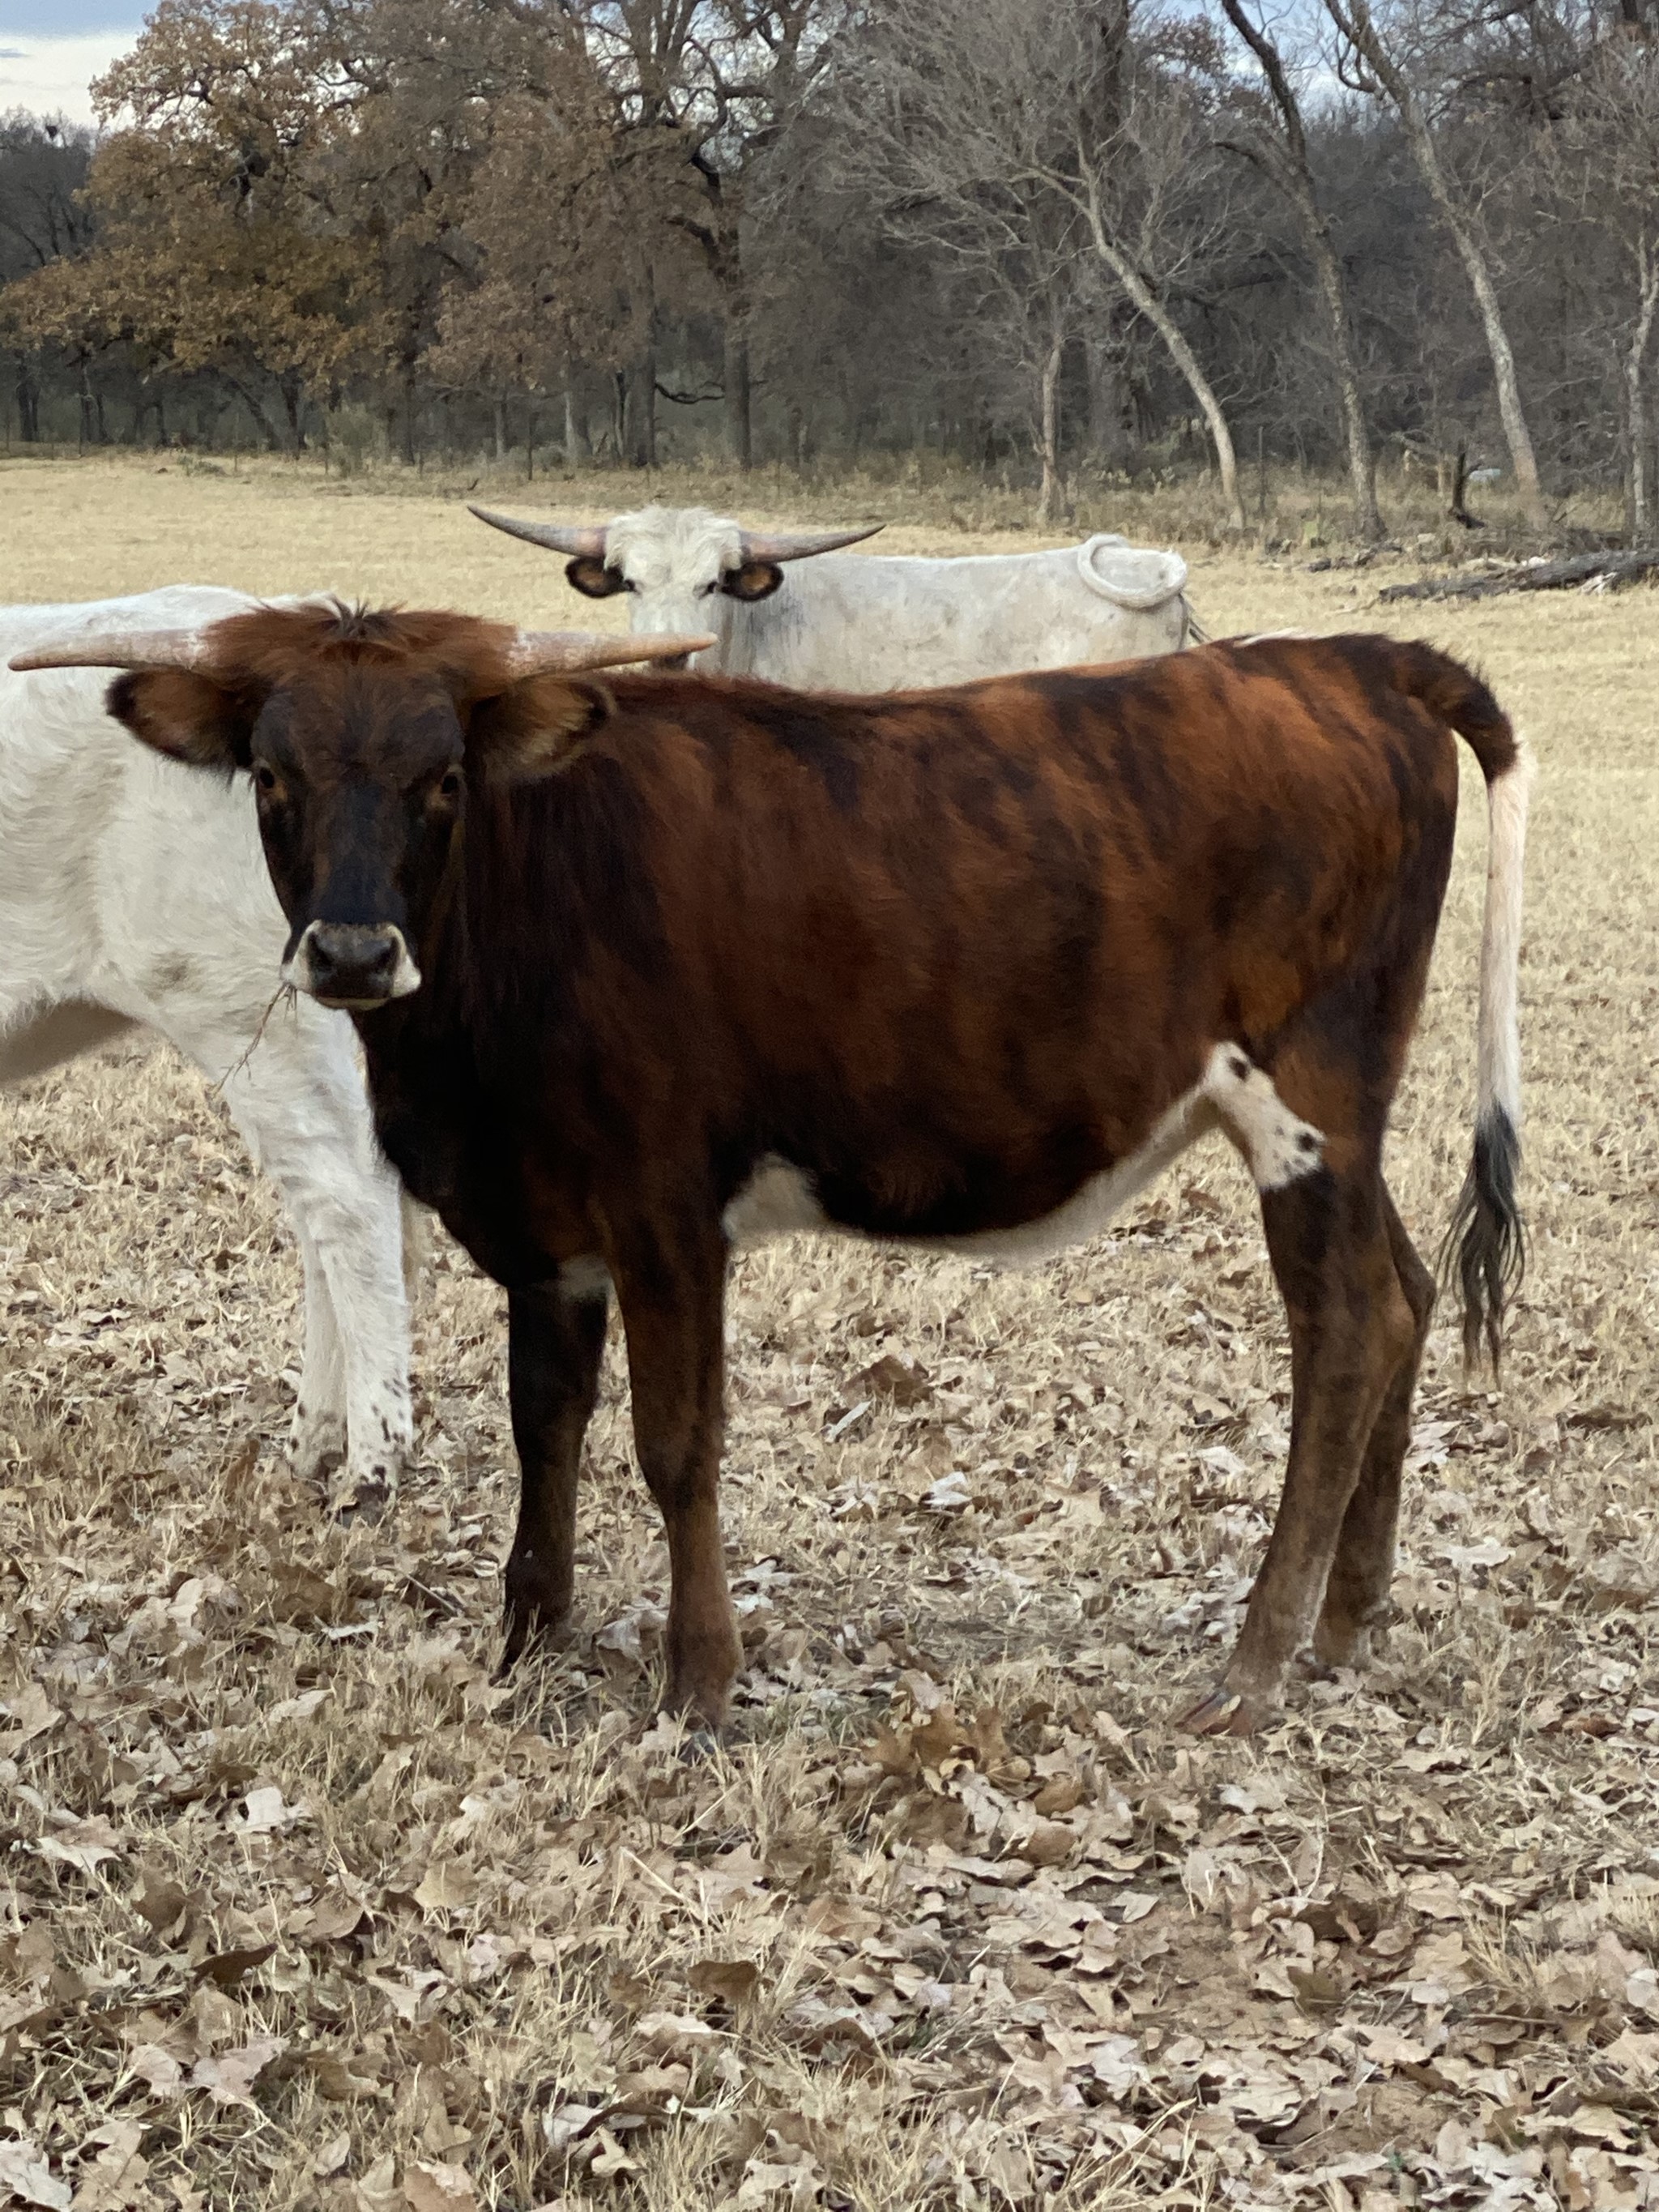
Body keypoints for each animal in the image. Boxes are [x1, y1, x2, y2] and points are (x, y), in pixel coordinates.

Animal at [14, 606, 1530, 1737]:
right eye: (273, 778)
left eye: (443, 777)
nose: (348, 952)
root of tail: (1350, 658)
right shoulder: (545, 1227)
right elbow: (544, 1425)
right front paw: (527, 1642)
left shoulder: (666, 1206)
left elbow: (676, 1443)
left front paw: (697, 1679)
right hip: (1340, 1126)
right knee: (1402, 1297)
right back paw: (1346, 1619)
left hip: (1304, 1101)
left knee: (1346, 1327)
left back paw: (1258, 1657)